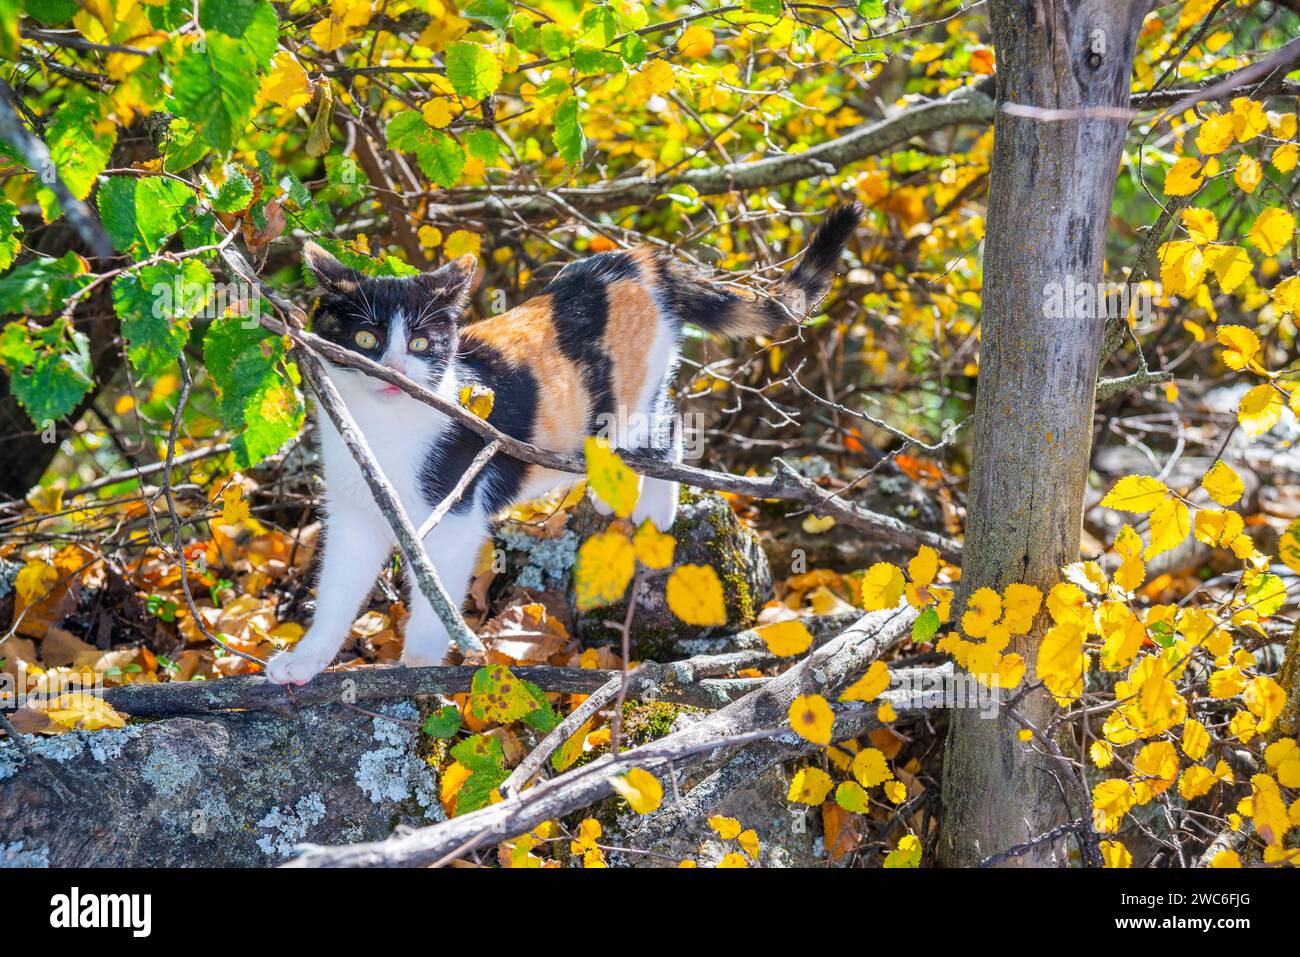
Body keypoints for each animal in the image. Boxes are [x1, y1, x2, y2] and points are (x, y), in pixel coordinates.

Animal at [266, 201, 863, 686]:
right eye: (365, 338)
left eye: (421, 344)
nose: (392, 369)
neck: (383, 430)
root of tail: (637, 261)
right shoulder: (355, 512)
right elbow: (337, 589)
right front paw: (305, 660)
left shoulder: (454, 515)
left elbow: (436, 598)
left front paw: (418, 665)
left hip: (632, 397)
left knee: (667, 428)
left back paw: (653, 506)